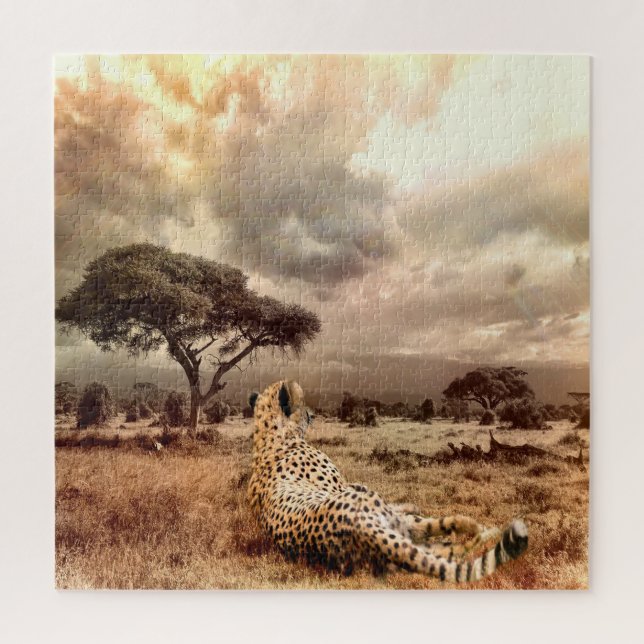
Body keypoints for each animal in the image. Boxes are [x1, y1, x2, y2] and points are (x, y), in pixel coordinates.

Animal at [247, 380, 528, 583]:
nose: (312, 414)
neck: (268, 436)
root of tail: (357, 526)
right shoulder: (344, 486)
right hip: (383, 511)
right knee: (432, 530)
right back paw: (482, 529)